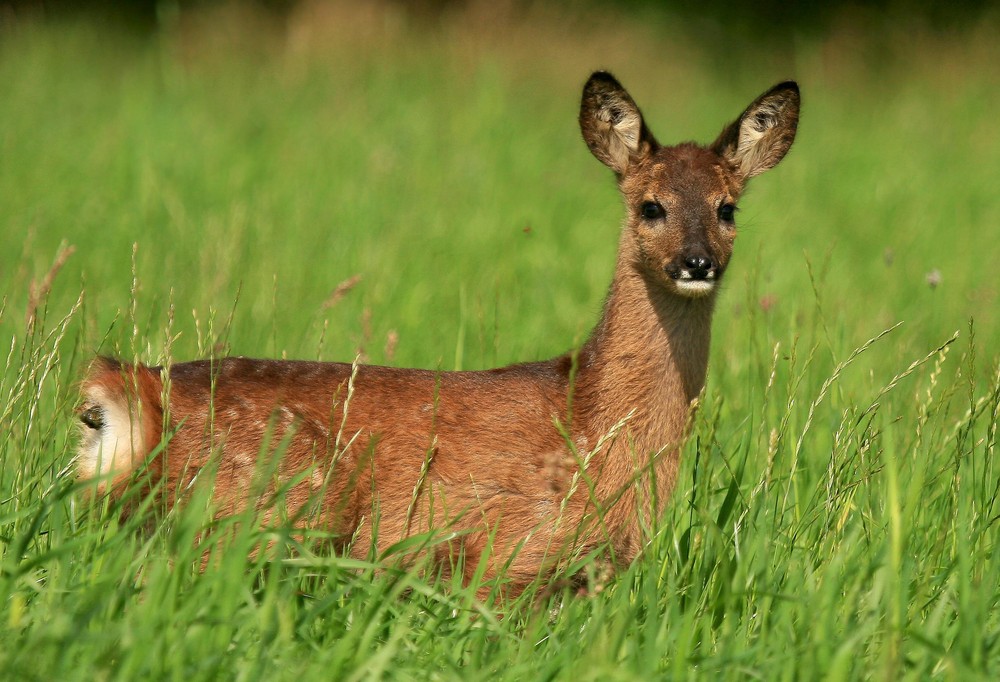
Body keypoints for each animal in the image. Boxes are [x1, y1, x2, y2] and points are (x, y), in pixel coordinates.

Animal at [74, 71, 800, 596]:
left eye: (727, 209)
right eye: (651, 206)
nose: (697, 262)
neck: (593, 418)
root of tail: (138, 392)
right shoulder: (508, 557)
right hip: (265, 514)